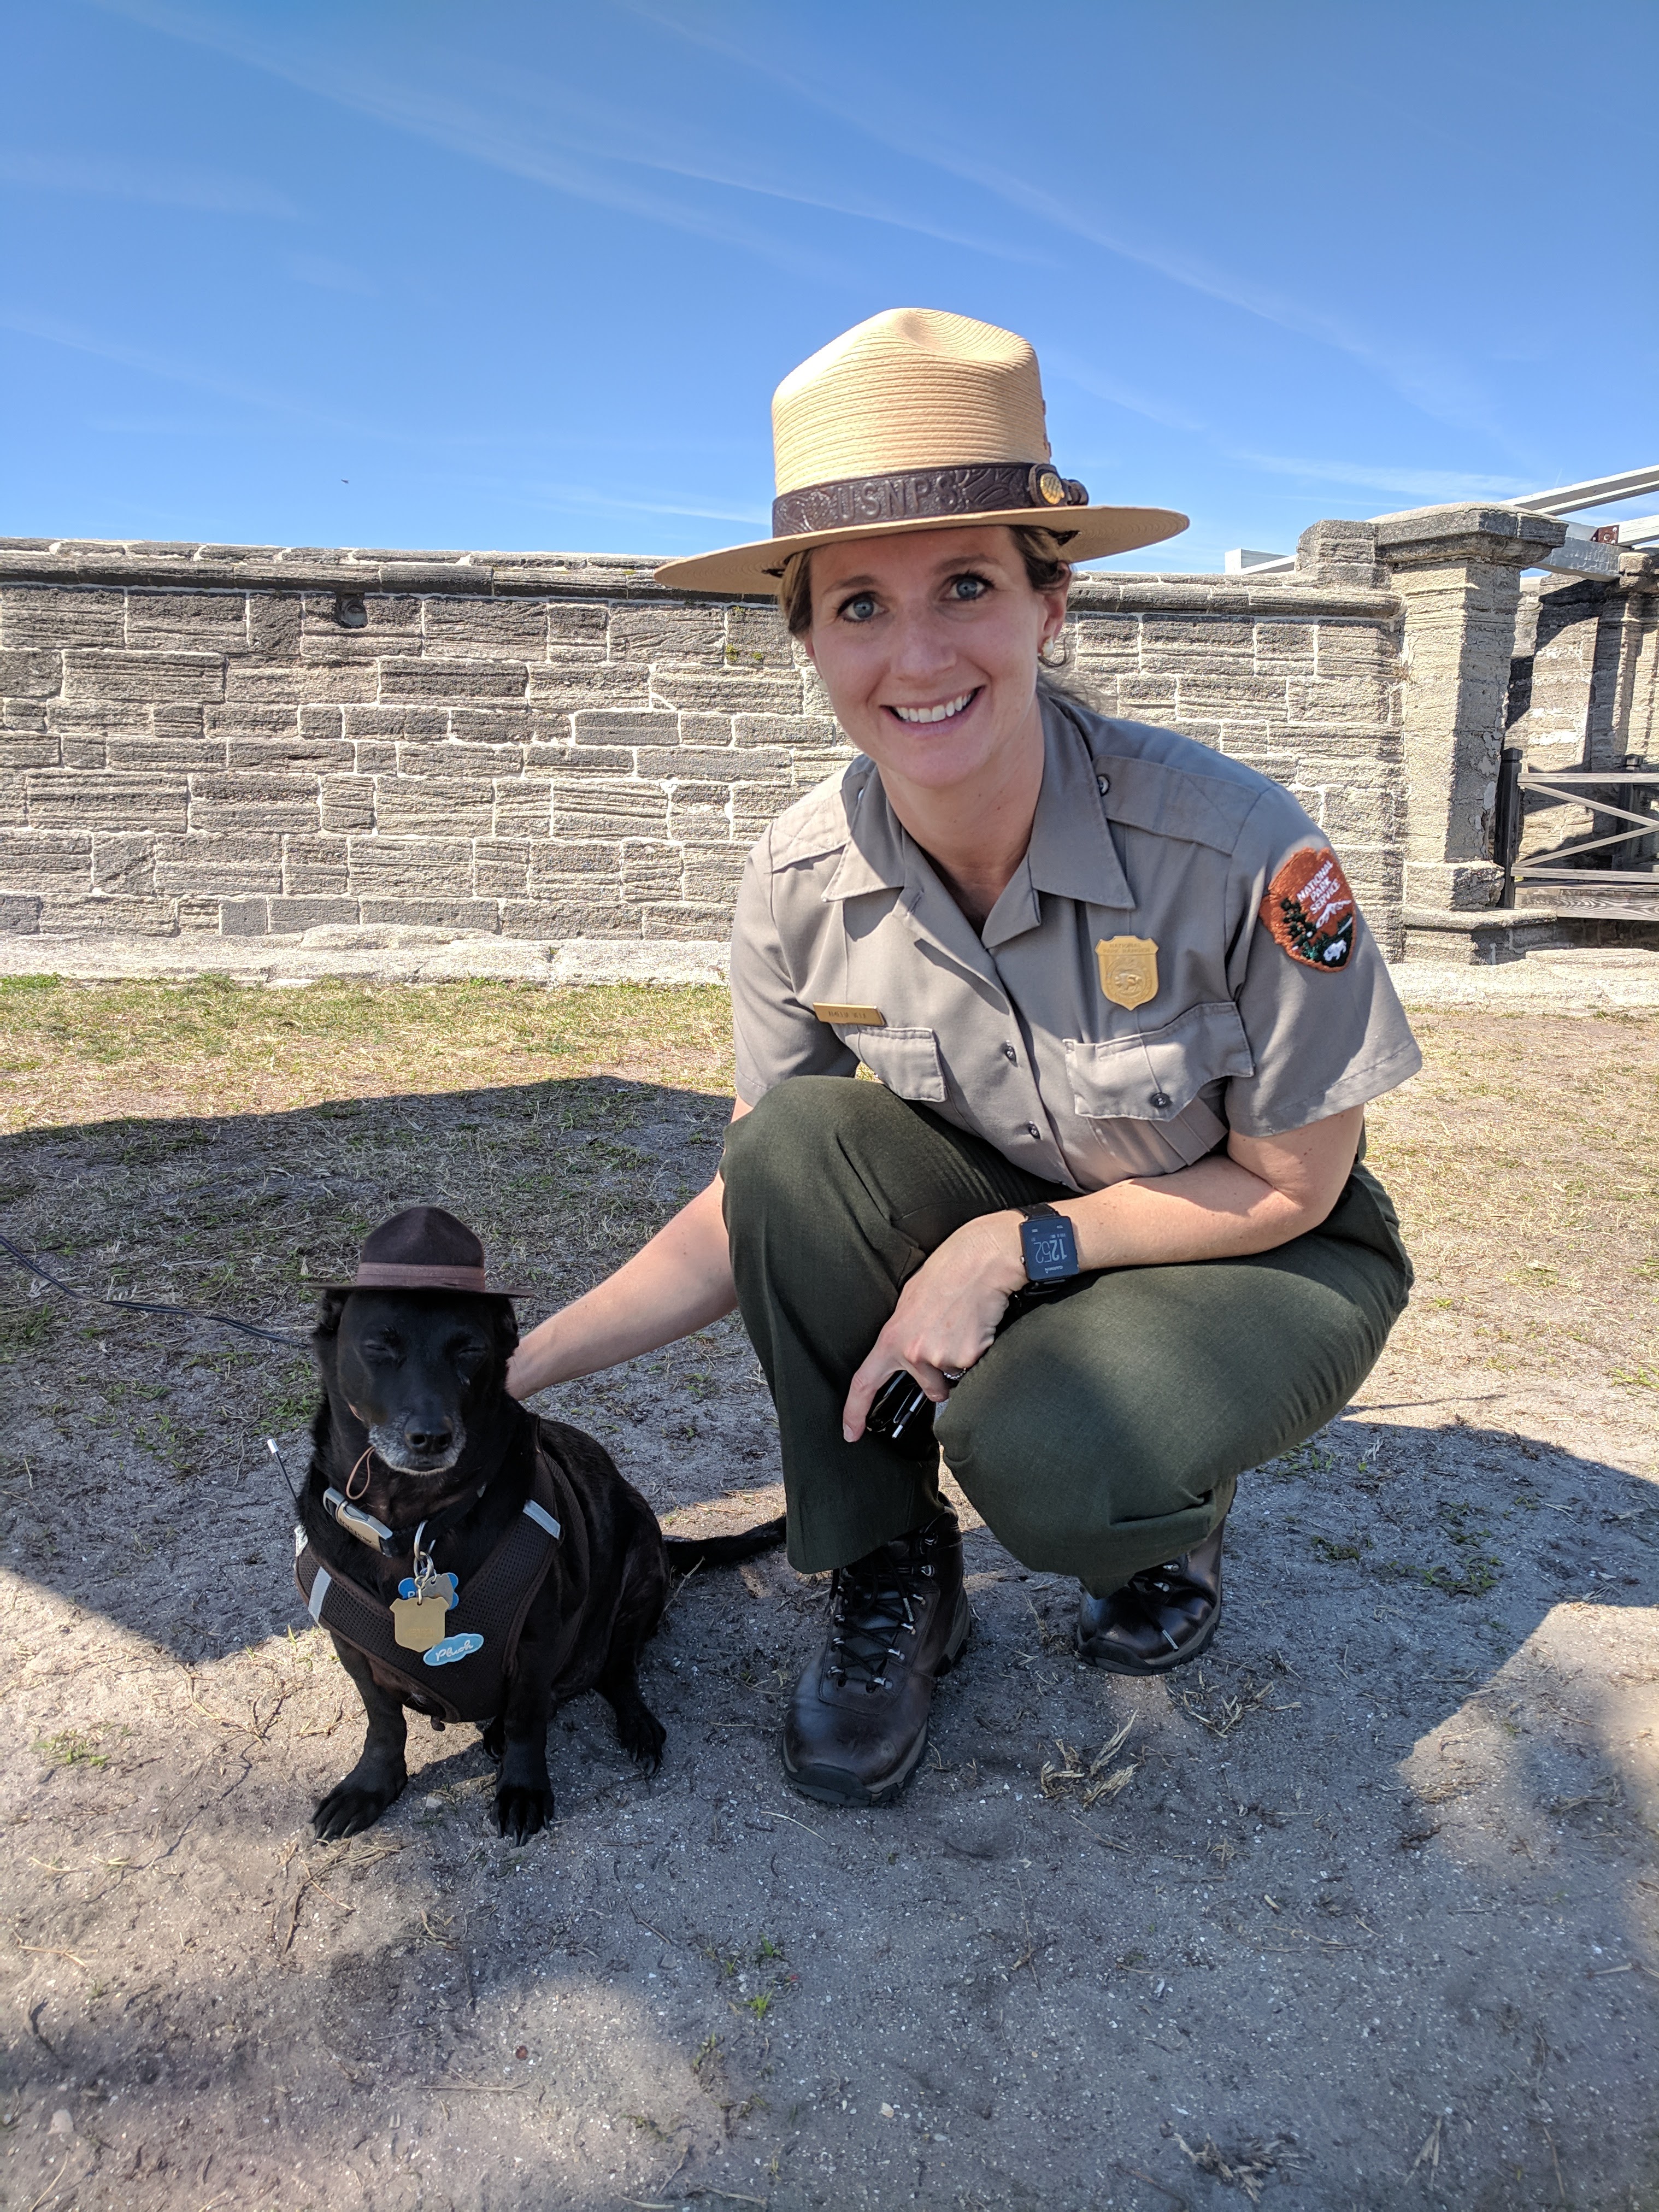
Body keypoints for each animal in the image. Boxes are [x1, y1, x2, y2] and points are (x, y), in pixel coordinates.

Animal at [303, 1283, 783, 1849]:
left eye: (470, 1349)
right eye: (379, 1345)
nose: (431, 1436)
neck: (418, 1526)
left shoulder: (537, 1640)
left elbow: (527, 1717)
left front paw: (522, 1789)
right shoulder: (353, 1651)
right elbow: (384, 1723)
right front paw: (371, 1786)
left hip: (639, 1577)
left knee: (614, 1673)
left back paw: (637, 1727)